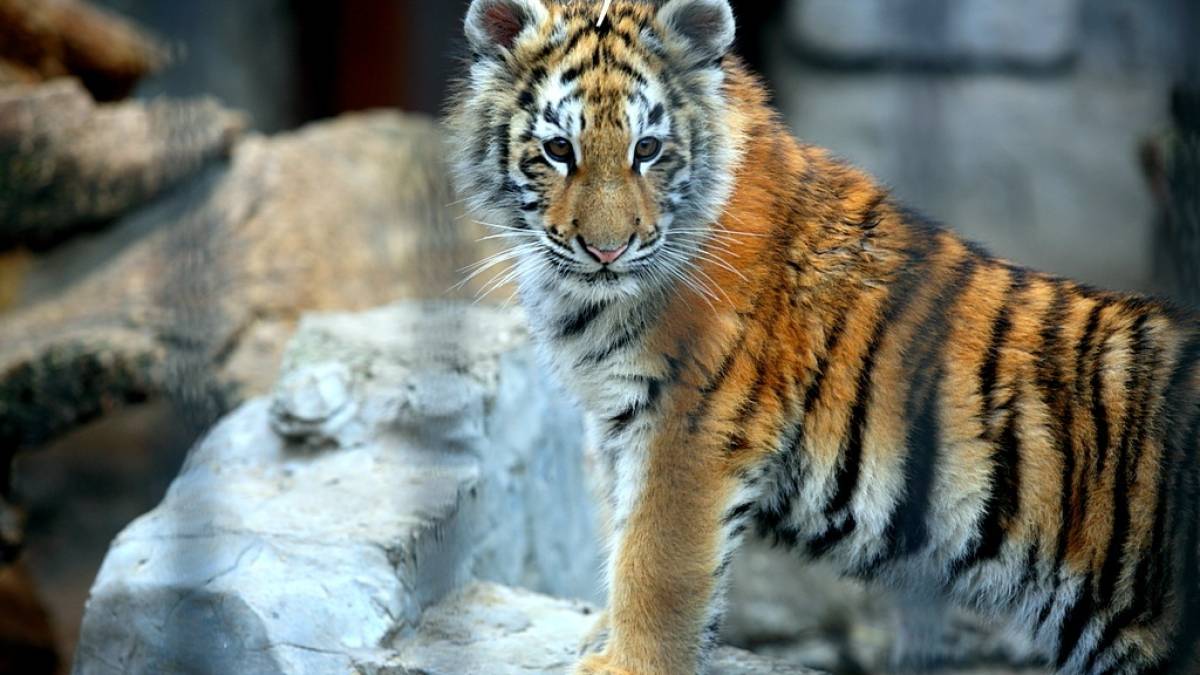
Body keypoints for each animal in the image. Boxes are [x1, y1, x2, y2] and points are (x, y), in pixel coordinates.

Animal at [445, 1, 1200, 673]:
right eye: (558, 150)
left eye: (647, 150)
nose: (606, 251)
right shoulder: (620, 421)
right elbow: (621, 531)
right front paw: (603, 633)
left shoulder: (690, 424)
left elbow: (656, 562)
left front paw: (627, 665)